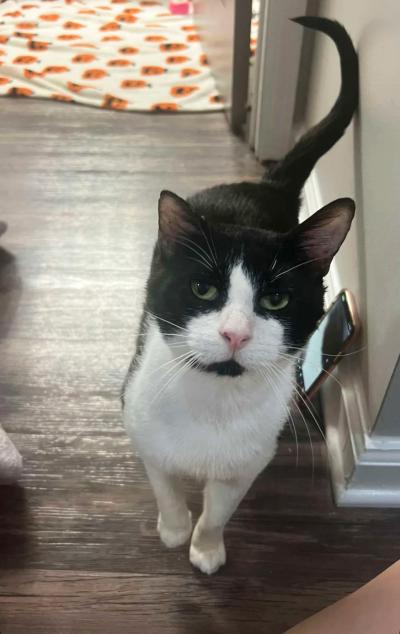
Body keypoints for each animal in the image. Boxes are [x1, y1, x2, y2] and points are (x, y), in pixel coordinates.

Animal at [122, 18, 360, 572]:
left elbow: (216, 512)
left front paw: (206, 548)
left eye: (276, 300)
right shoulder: (141, 425)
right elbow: (165, 485)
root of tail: (267, 185)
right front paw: (173, 529)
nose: (235, 333)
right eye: (203, 288)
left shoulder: (248, 462)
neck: (213, 404)